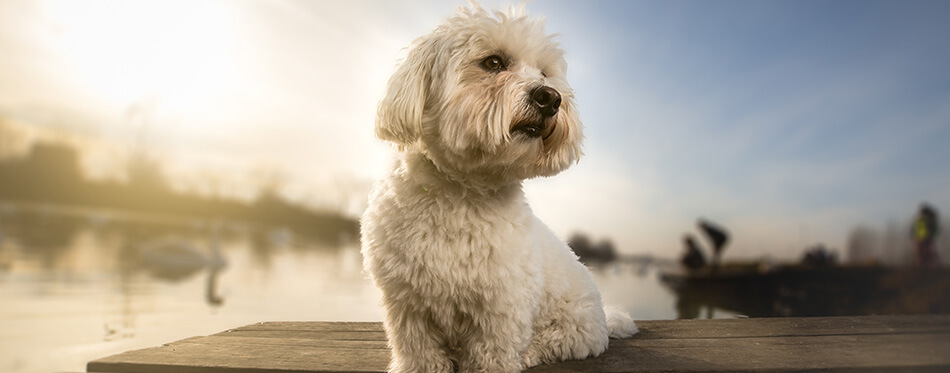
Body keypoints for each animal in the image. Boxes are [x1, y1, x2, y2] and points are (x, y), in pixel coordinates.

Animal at [362, 3, 640, 372]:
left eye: (544, 73)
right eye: (493, 62)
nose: (550, 97)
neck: (463, 192)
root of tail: (605, 318)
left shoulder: (502, 307)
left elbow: (492, 352)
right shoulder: (407, 301)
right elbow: (418, 349)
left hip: (573, 323)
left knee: (559, 341)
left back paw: (532, 352)